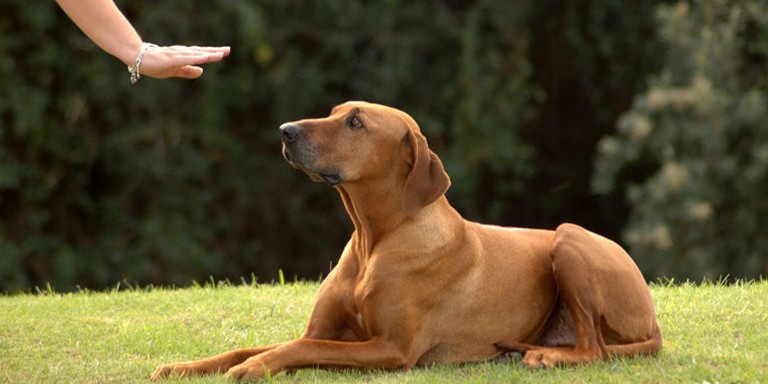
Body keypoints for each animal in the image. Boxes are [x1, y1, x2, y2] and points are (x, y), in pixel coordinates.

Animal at [150, 100, 660, 380]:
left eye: (356, 123)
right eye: (334, 113)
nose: (285, 131)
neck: (374, 240)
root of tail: (653, 321)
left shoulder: (391, 349)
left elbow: (298, 349)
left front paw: (254, 369)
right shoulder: (323, 330)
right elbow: (254, 346)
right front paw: (183, 367)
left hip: (569, 238)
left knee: (594, 349)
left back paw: (546, 358)